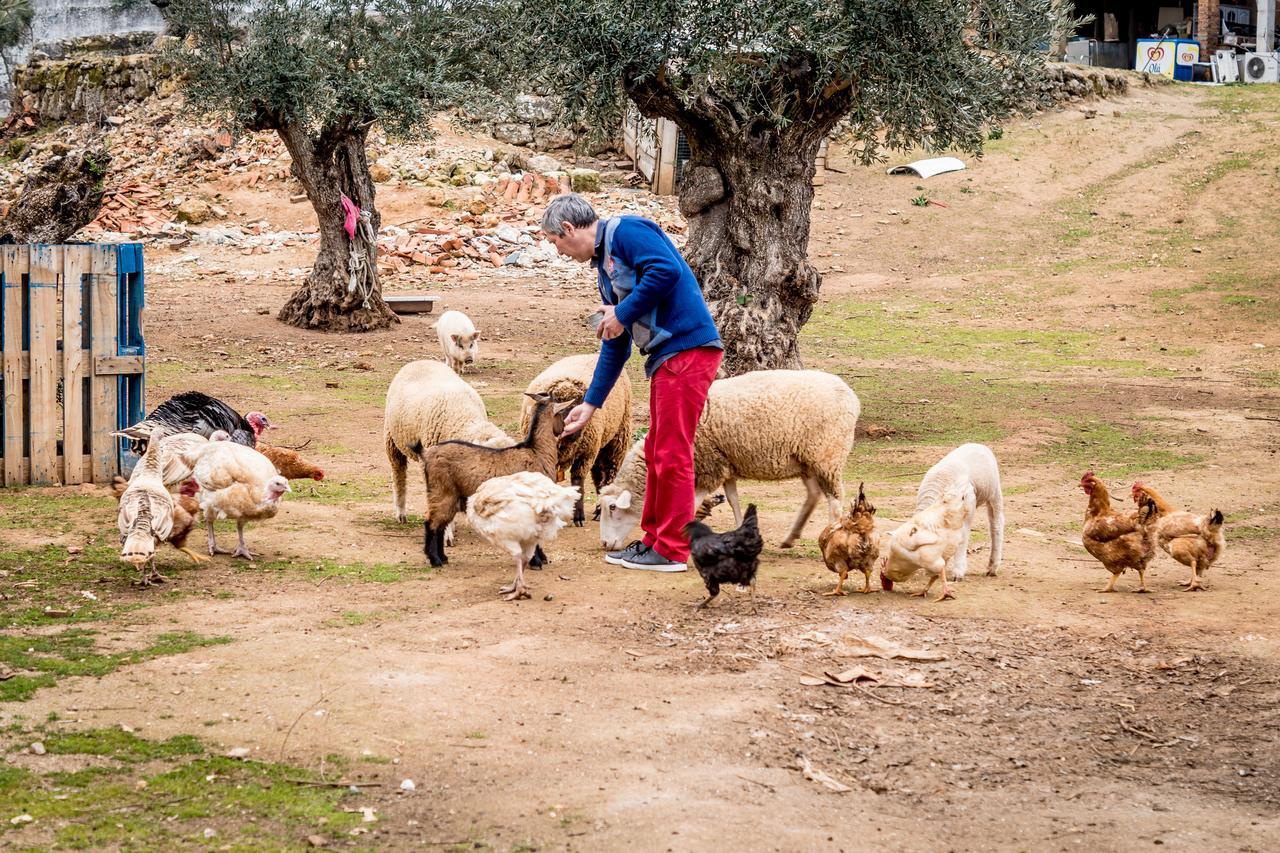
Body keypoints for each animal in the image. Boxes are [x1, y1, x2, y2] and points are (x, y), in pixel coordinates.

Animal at [419, 391, 570, 563]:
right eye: (561, 413)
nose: (564, 427)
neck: (537, 452)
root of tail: (427, 454)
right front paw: (537, 561)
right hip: (442, 493)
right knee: (431, 523)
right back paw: (435, 560)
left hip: (448, 497)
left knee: (440, 525)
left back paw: (442, 558)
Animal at [517, 350, 632, 525]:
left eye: (579, 404)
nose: (573, 432)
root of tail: (592, 354)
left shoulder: (585, 454)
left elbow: (578, 482)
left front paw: (578, 516)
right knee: (598, 475)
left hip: (615, 439)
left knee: (608, 473)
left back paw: (601, 510)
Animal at [596, 368, 860, 548]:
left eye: (612, 507)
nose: (605, 544)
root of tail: (851, 396)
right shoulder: (724, 465)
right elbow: (733, 499)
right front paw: (739, 530)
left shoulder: (708, 468)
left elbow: (693, 503)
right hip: (807, 460)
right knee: (814, 495)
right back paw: (789, 538)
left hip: (827, 456)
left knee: (835, 502)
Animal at [916, 438, 1003, 578]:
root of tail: (977, 444)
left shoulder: (969, 502)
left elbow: (962, 537)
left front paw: (958, 572)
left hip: (994, 491)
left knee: (996, 523)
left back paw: (993, 567)